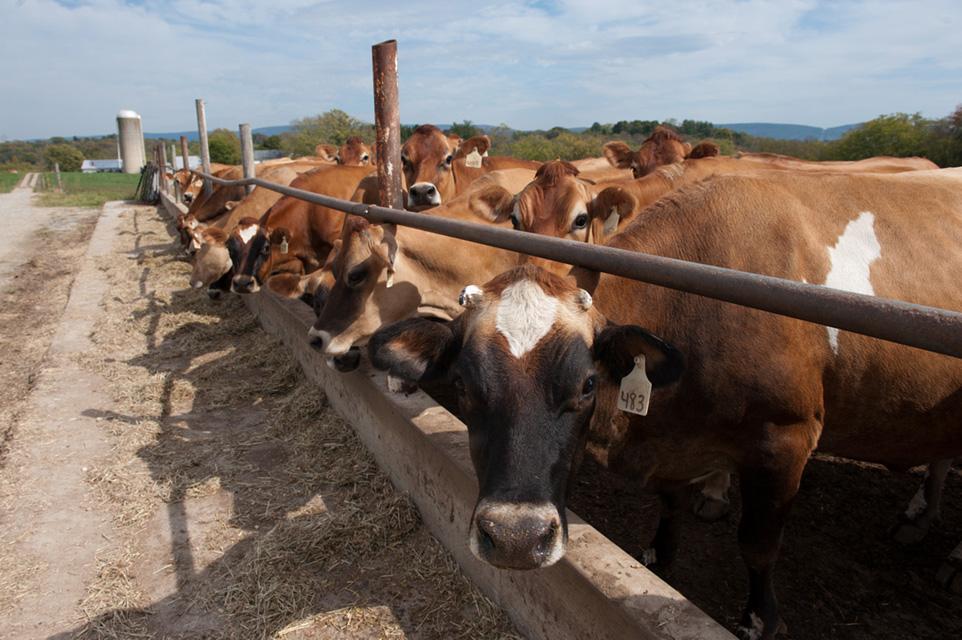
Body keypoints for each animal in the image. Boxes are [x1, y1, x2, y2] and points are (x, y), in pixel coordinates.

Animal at [366, 169, 960, 640]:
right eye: (462, 383)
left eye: (589, 384)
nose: (516, 539)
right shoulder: (672, 442)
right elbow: (671, 504)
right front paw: (659, 554)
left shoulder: (786, 438)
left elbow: (758, 544)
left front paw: (759, 619)